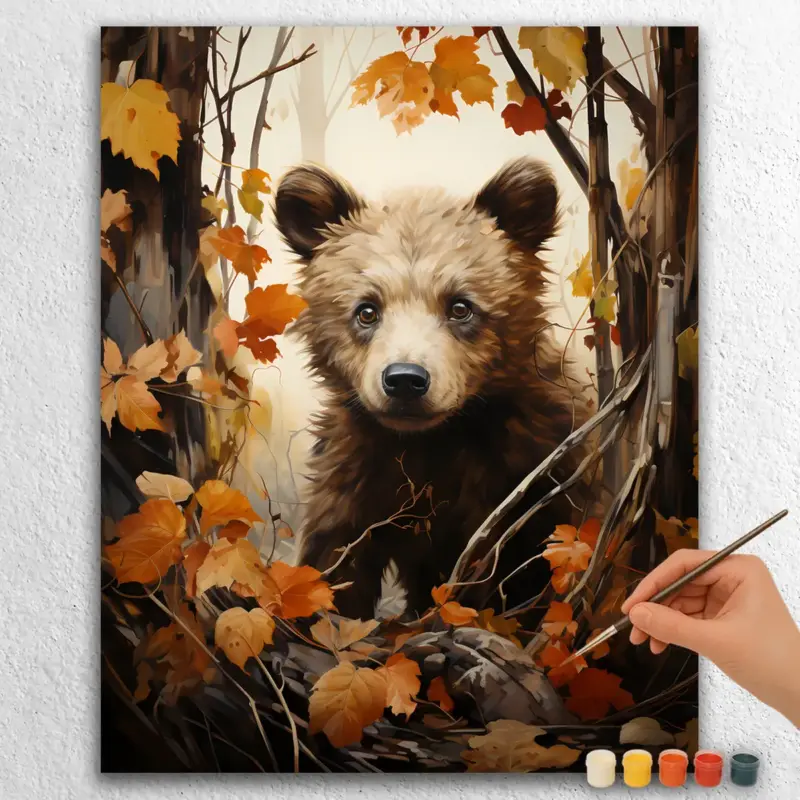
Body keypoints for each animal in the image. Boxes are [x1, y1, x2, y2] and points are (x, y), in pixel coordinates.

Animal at [274, 158, 582, 620]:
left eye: (461, 306)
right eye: (367, 310)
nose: (405, 380)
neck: (431, 446)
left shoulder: (529, 482)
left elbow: (531, 571)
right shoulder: (354, 481)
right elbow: (333, 568)